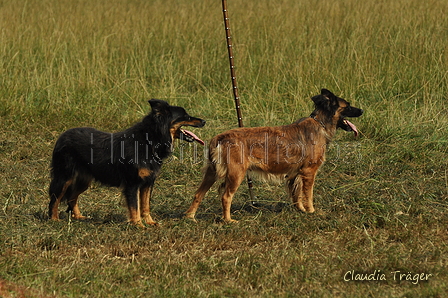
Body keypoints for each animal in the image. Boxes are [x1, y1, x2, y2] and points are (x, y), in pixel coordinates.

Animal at [48, 99, 206, 227]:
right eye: (185, 116)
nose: (204, 121)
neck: (149, 141)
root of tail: (62, 136)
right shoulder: (132, 184)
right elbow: (135, 206)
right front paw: (138, 225)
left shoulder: (148, 183)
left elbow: (145, 205)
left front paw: (150, 222)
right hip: (65, 178)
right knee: (54, 198)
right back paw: (54, 219)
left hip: (84, 180)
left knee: (71, 198)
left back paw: (79, 217)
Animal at [186, 89, 364, 222]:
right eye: (348, 106)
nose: (362, 110)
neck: (319, 123)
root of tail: (221, 137)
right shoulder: (309, 172)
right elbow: (308, 195)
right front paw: (311, 212)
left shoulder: (296, 173)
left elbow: (297, 194)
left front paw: (300, 210)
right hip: (236, 174)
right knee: (226, 197)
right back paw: (228, 220)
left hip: (212, 173)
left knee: (198, 194)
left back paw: (190, 217)